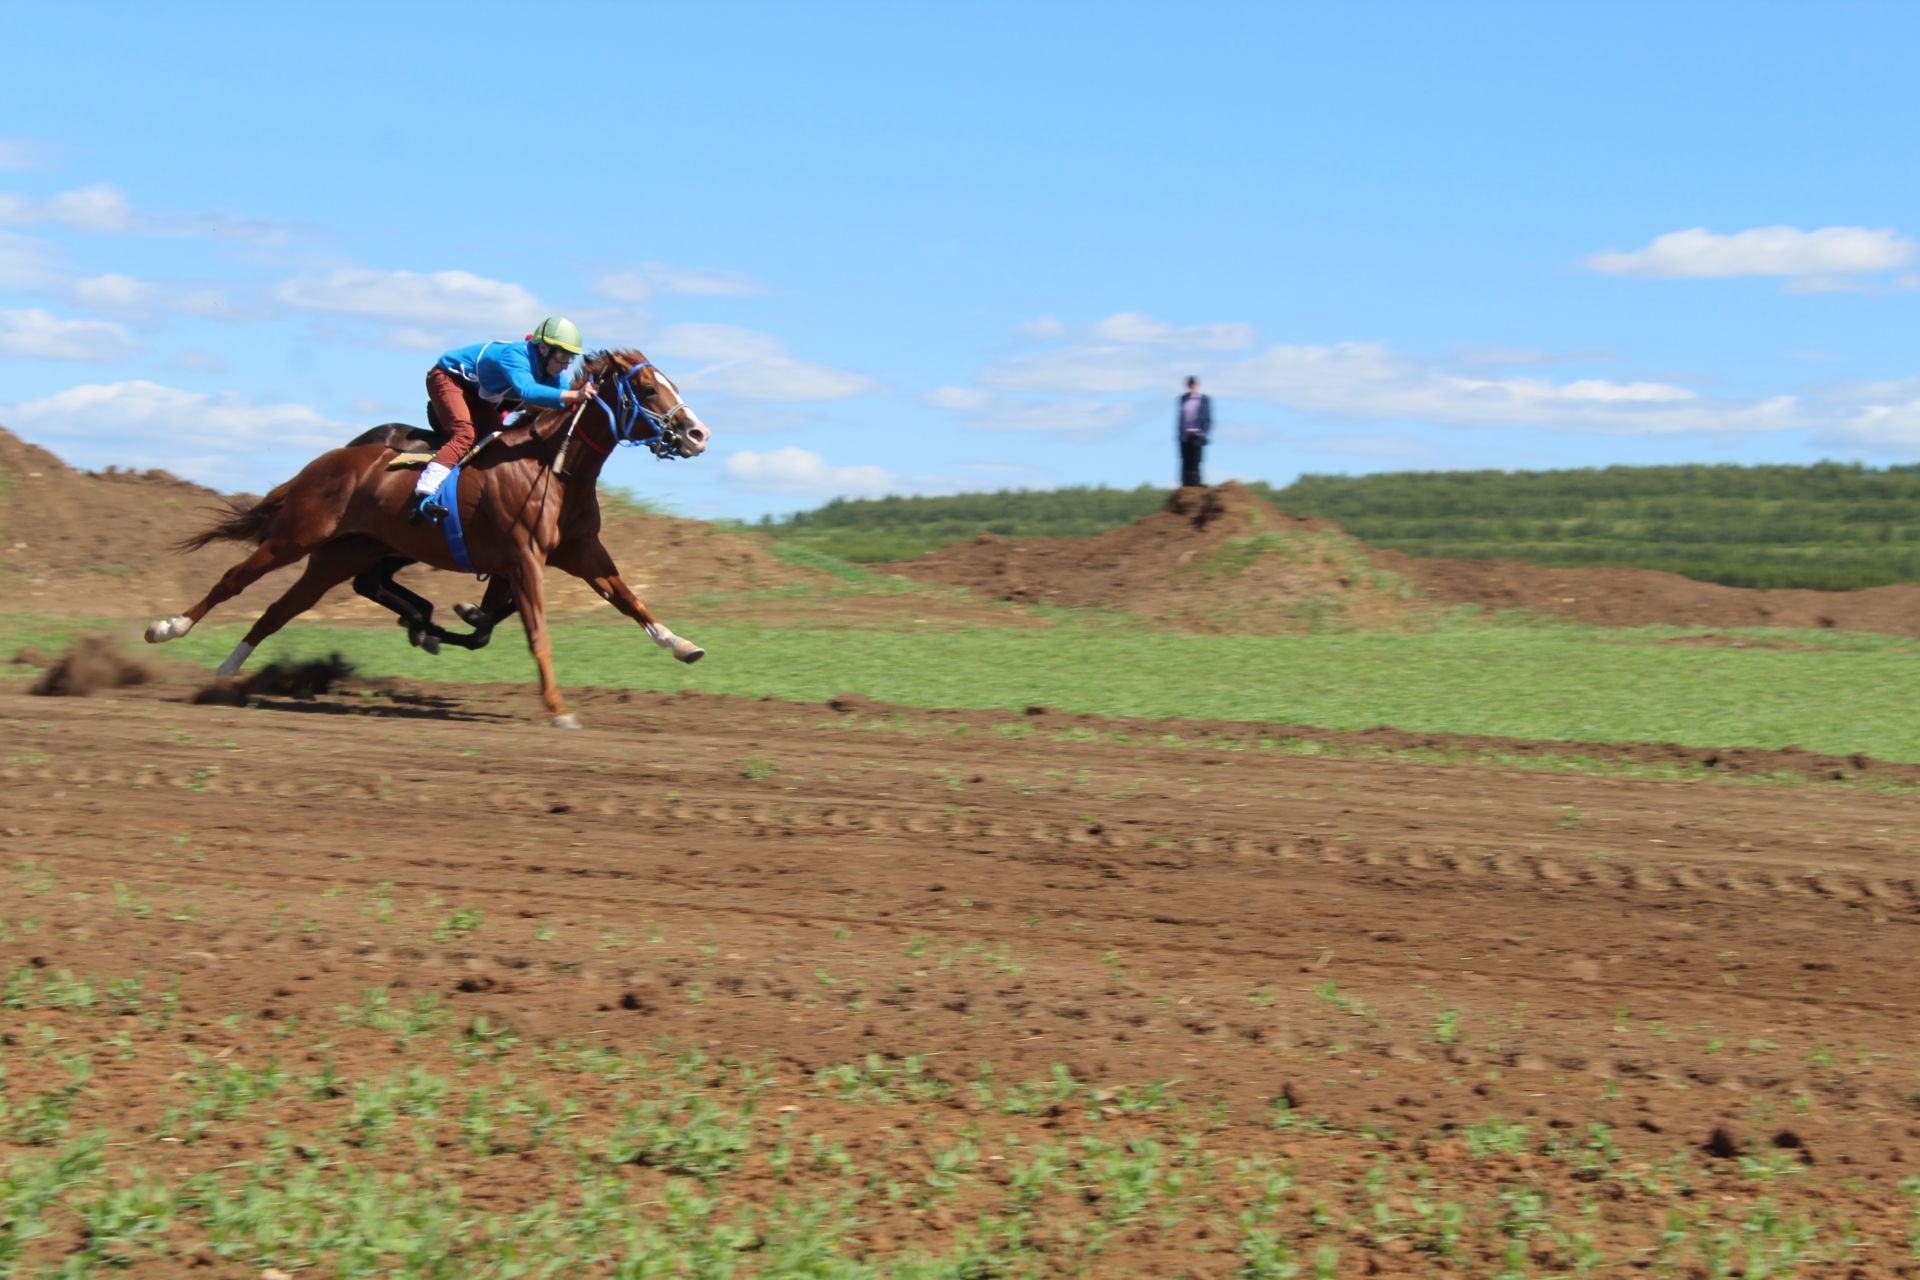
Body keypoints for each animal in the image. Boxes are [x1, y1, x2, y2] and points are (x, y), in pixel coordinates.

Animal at [144, 351, 714, 729]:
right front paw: (557, 708)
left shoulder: (581, 552)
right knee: (234, 580)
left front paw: (683, 645)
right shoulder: (523, 559)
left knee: (282, 609)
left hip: (340, 555)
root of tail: (325, 461)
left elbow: (630, 599)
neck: (553, 466)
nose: (697, 434)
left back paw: (228, 670)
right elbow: (536, 634)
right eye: (648, 390)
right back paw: (168, 628)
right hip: (298, 536)